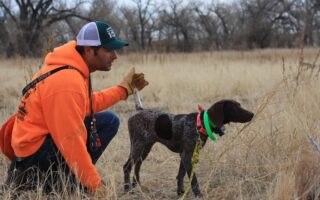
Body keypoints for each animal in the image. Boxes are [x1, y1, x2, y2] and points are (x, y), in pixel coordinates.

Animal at [124, 90, 254, 197]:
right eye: (235, 107)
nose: (252, 114)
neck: (201, 124)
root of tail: (140, 110)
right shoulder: (186, 155)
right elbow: (193, 179)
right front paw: (198, 194)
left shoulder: (186, 155)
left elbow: (181, 175)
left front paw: (180, 192)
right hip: (138, 146)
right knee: (127, 167)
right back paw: (127, 189)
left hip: (145, 148)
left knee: (137, 167)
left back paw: (136, 187)